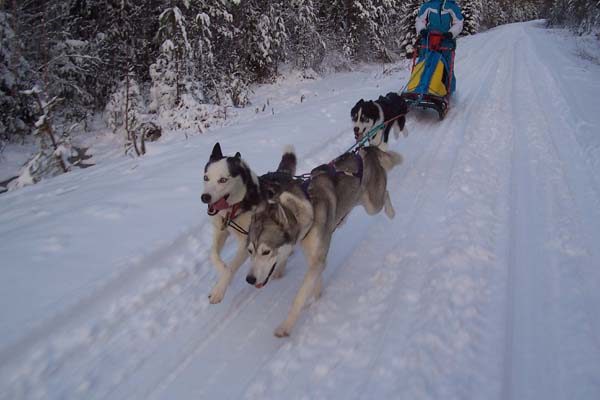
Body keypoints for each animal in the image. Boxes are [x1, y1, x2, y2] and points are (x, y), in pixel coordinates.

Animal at [202, 144, 296, 304]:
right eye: (206, 178)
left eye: (223, 180)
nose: (204, 197)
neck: (238, 206)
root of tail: (282, 173)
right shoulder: (221, 231)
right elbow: (214, 255)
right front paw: (223, 270)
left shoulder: (248, 240)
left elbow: (231, 267)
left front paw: (219, 290)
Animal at [246, 145, 400, 336]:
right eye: (250, 251)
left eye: (266, 251)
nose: (249, 279)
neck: (304, 212)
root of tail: (365, 149)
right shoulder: (314, 259)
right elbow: (315, 284)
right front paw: (317, 298)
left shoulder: (317, 260)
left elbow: (299, 297)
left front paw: (285, 326)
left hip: (373, 205)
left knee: (385, 194)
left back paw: (391, 212)